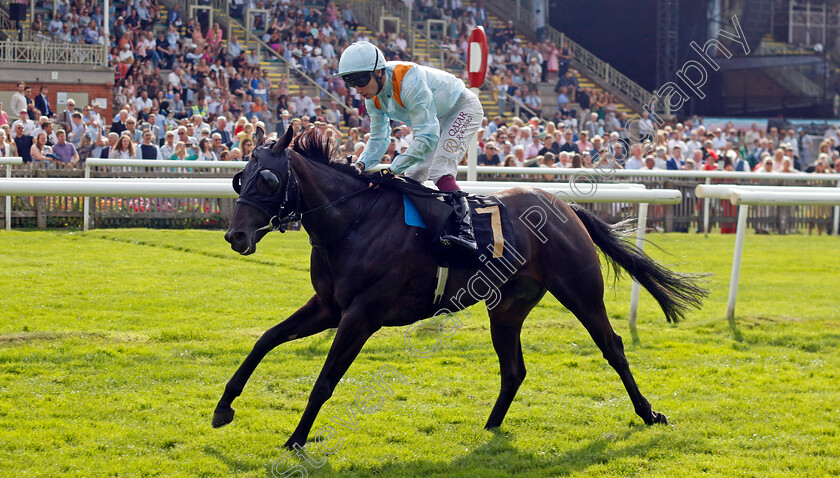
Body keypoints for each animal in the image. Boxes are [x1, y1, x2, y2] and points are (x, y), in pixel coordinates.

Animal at [213, 126, 704, 448]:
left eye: (267, 179)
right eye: (240, 177)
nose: (236, 236)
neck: (351, 221)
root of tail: (565, 206)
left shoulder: (361, 315)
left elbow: (325, 379)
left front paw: (295, 439)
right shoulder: (328, 306)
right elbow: (266, 339)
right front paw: (224, 407)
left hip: (581, 292)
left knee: (613, 347)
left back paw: (648, 413)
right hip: (506, 308)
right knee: (514, 369)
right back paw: (489, 427)